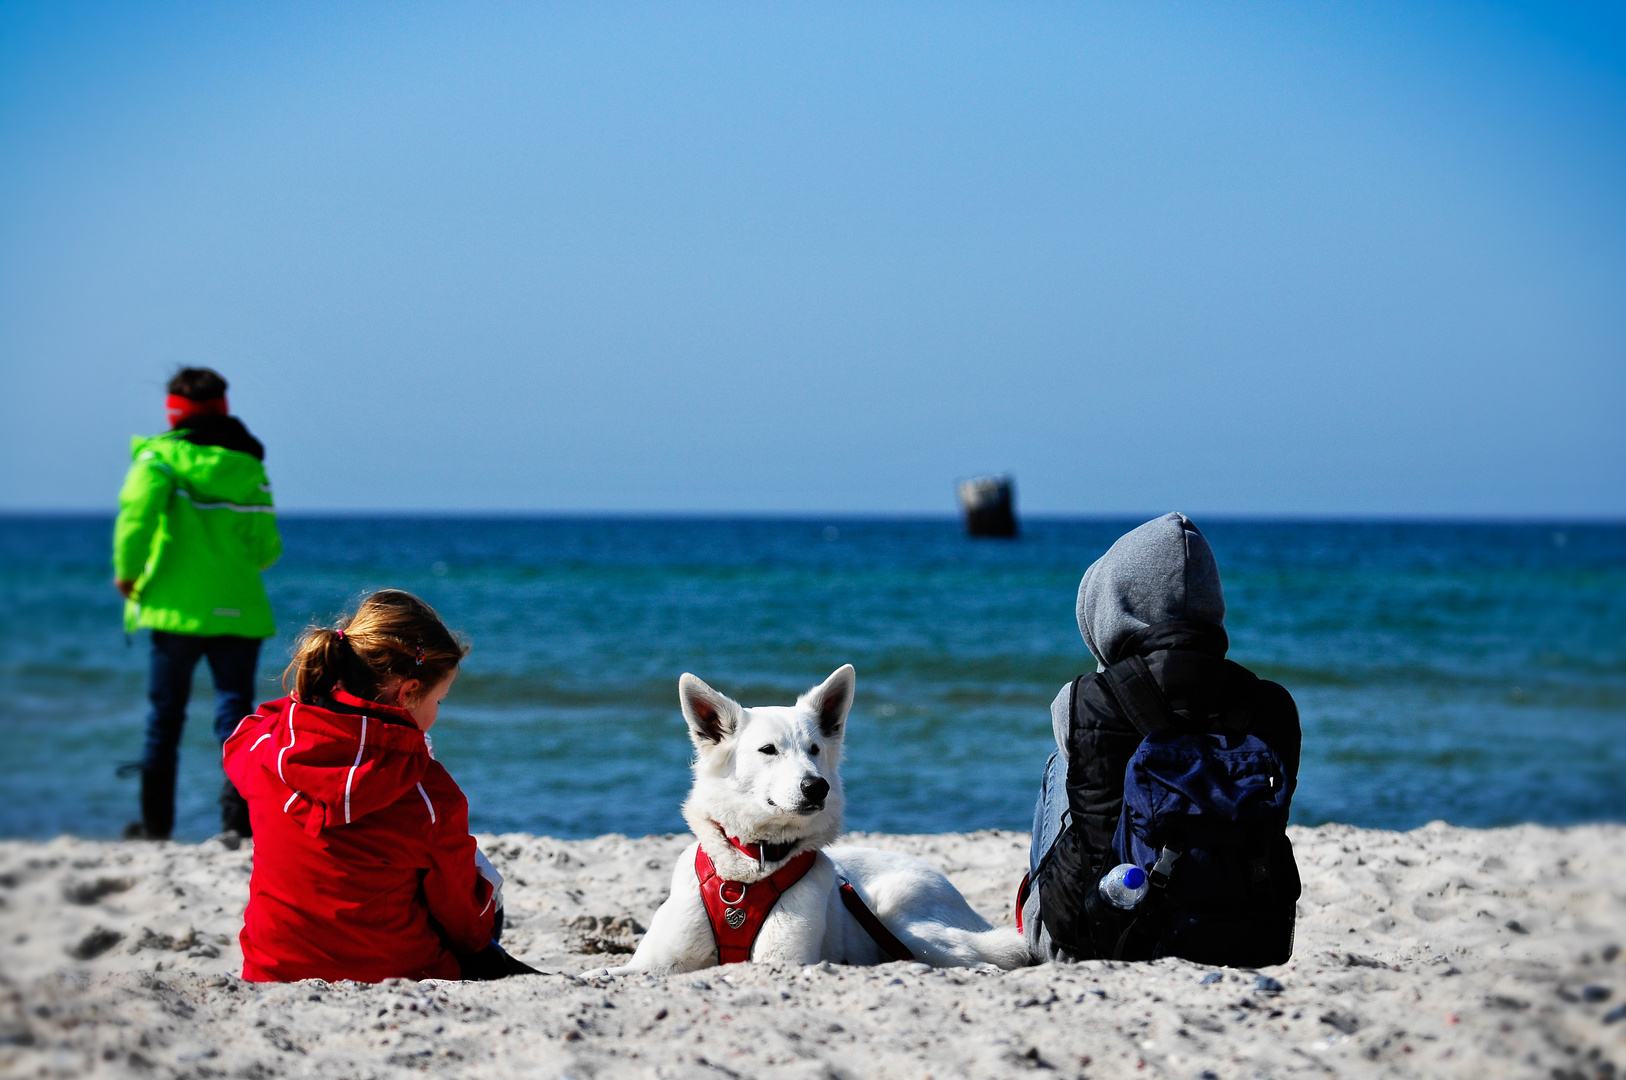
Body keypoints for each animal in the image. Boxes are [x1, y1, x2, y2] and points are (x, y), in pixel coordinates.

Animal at [598, 663, 1027, 975]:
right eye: (768, 750)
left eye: (815, 749)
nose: (817, 787)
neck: (752, 866)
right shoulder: (659, 961)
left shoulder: (780, 960)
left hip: (905, 921)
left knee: (981, 959)